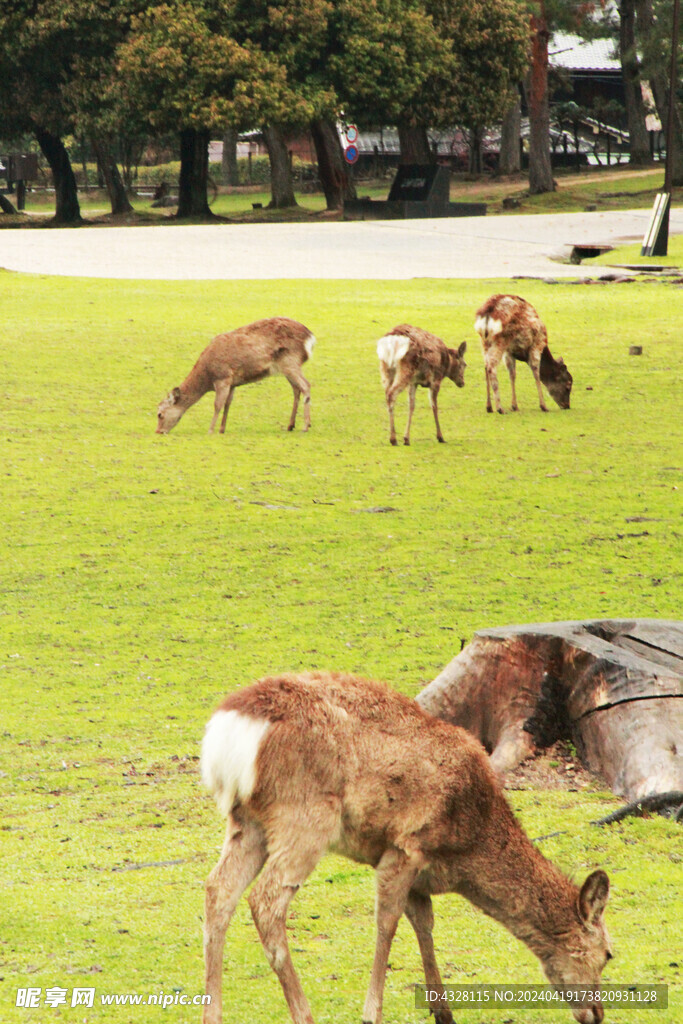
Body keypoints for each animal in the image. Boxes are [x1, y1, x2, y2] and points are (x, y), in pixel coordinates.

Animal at [156, 315, 317, 436]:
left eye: (160, 414)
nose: (158, 431)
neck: (207, 377)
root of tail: (311, 337)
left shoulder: (222, 378)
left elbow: (218, 404)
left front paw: (210, 430)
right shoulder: (233, 382)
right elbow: (228, 403)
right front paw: (222, 429)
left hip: (291, 361)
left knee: (306, 385)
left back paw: (305, 425)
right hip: (286, 367)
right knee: (296, 389)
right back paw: (291, 425)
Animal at [200, 671, 610, 1024]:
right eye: (608, 954)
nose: (597, 1013)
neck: (466, 850)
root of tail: (227, 731)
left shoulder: (419, 871)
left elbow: (424, 924)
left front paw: (443, 1011)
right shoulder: (407, 846)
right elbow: (388, 922)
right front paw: (372, 1013)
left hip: (247, 821)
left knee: (218, 890)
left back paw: (212, 1014)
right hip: (305, 817)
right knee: (265, 900)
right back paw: (304, 1015)